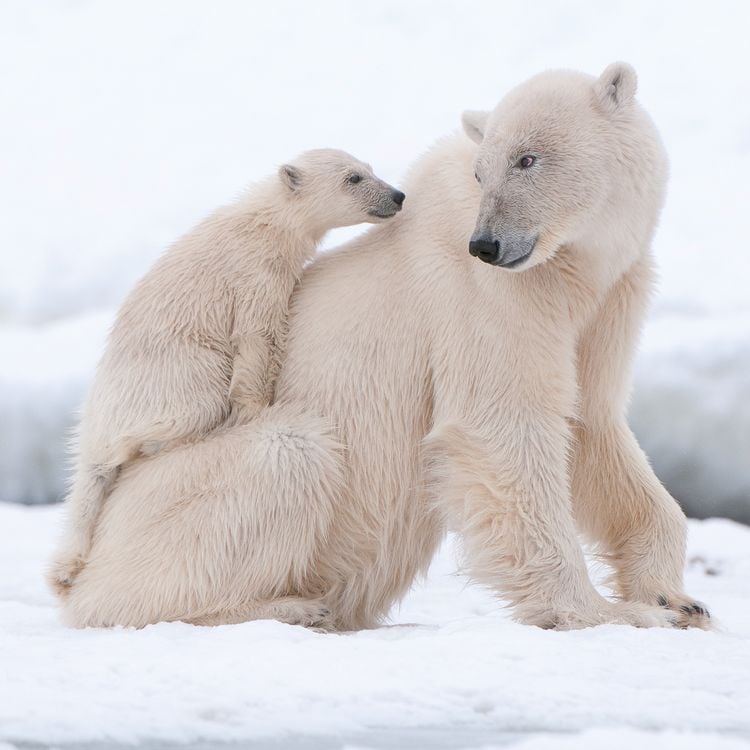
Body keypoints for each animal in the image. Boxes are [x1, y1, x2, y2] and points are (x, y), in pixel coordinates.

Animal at [48, 148, 405, 597]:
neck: (266, 222)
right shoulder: (254, 273)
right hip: (174, 374)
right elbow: (257, 336)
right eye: (353, 177)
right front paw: (255, 409)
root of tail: (95, 423)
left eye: (370, 168)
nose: (397, 195)